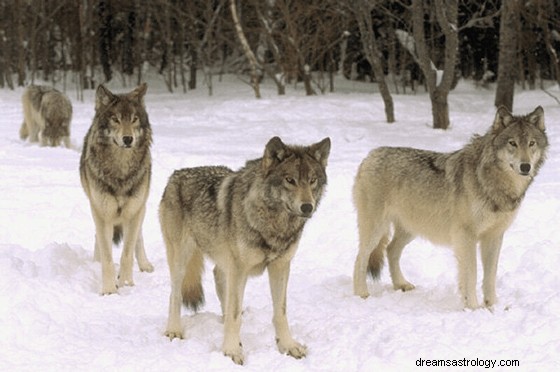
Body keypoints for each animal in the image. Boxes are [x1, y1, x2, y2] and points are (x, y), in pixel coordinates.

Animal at [79, 83, 153, 294]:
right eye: (116, 119)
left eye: (134, 119)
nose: (128, 139)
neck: (120, 170)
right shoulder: (102, 212)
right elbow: (107, 257)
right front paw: (109, 290)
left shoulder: (134, 211)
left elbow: (127, 253)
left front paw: (126, 284)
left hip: (140, 207)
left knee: (138, 238)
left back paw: (145, 265)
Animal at [160, 136, 330, 364]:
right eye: (290, 180)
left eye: (312, 180)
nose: (307, 207)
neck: (273, 224)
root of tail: (176, 174)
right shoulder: (240, 269)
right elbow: (234, 316)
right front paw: (232, 351)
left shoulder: (280, 266)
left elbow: (280, 312)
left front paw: (288, 346)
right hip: (182, 259)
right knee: (175, 294)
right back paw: (174, 330)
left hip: (224, 263)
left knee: (220, 281)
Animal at [352, 106, 548, 310]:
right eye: (512, 143)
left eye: (531, 143)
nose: (525, 166)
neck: (492, 182)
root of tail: (370, 155)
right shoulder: (466, 237)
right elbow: (472, 274)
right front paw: (473, 308)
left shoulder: (494, 236)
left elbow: (490, 276)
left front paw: (492, 306)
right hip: (376, 229)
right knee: (360, 257)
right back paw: (362, 294)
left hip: (411, 229)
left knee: (390, 250)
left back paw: (401, 284)